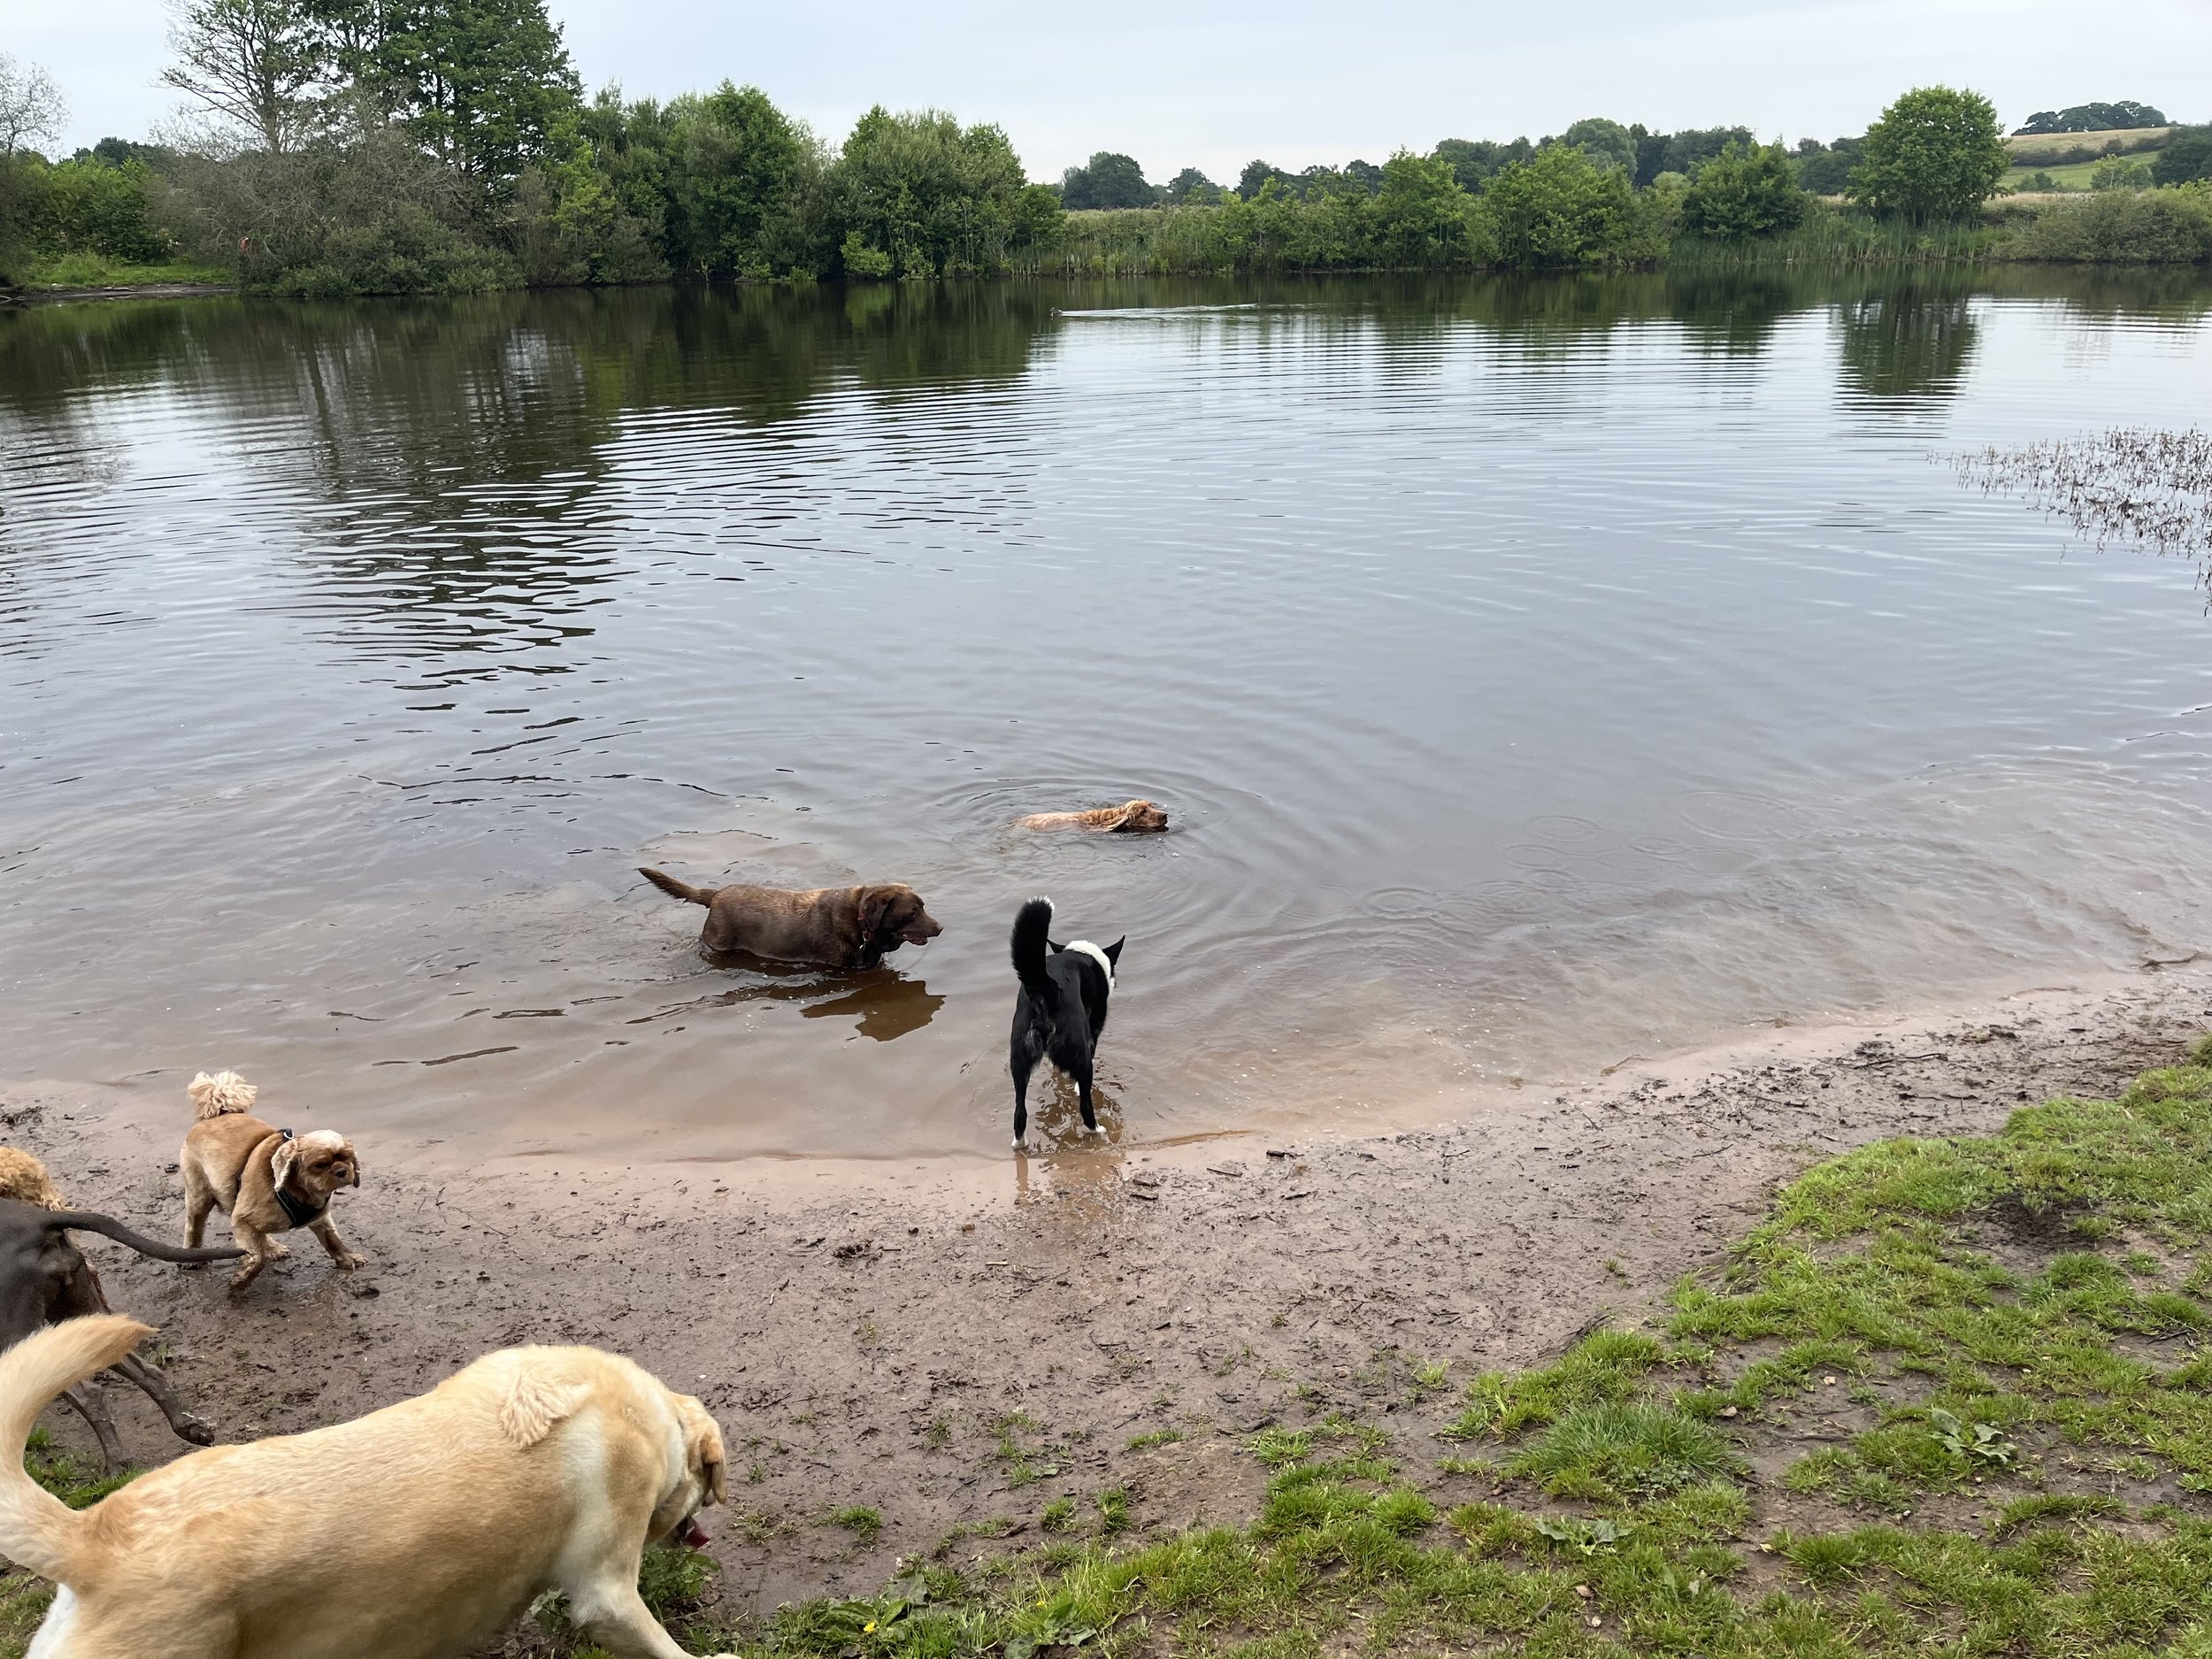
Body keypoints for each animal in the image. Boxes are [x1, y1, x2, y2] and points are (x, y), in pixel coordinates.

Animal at [178, 1079, 363, 1301]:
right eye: (321, 1164)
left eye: (347, 1158)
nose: (343, 1171)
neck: (298, 1191)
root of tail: (217, 1115)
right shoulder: (241, 1219)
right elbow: (256, 1258)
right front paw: (241, 1281)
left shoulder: (321, 1219)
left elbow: (333, 1240)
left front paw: (347, 1257)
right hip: (199, 1197)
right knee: (194, 1227)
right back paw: (192, 1257)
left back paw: (272, 1248)